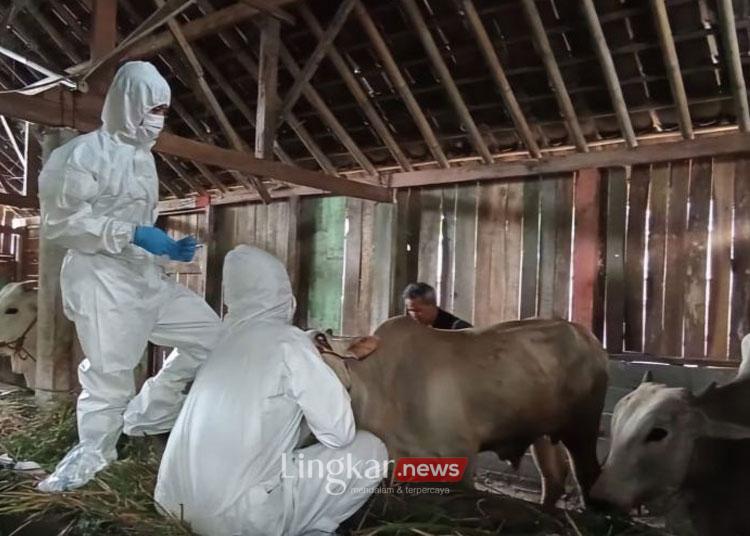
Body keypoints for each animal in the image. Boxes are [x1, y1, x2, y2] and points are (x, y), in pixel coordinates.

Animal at [312, 314, 612, 506]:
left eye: (321, 344)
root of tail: (585, 335)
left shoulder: (459, 455)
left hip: (582, 428)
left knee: (587, 476)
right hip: (544, 433)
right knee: (554, 479)